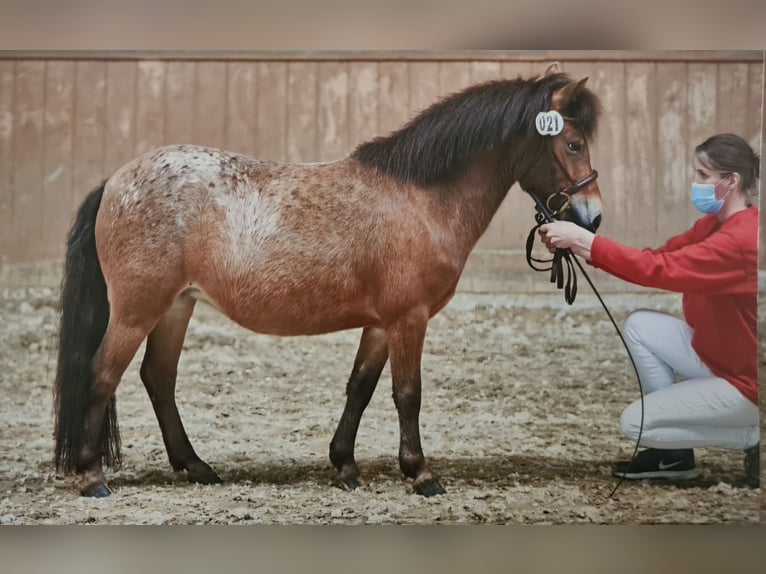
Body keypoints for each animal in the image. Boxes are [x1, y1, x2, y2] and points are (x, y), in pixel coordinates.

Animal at [55, 68, 608, 500]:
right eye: (573, 143)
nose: (592, 217)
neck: (420, 197)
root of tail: (114, 181)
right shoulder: (409, 318)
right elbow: (408, 393)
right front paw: (421, 474)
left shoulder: (383, 324)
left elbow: (360, 387)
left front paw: (345, 466)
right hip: (137, 310)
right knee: (103, 373)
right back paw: (93, 477)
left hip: (176, 307)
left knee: (158, 378)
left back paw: (196, 467)